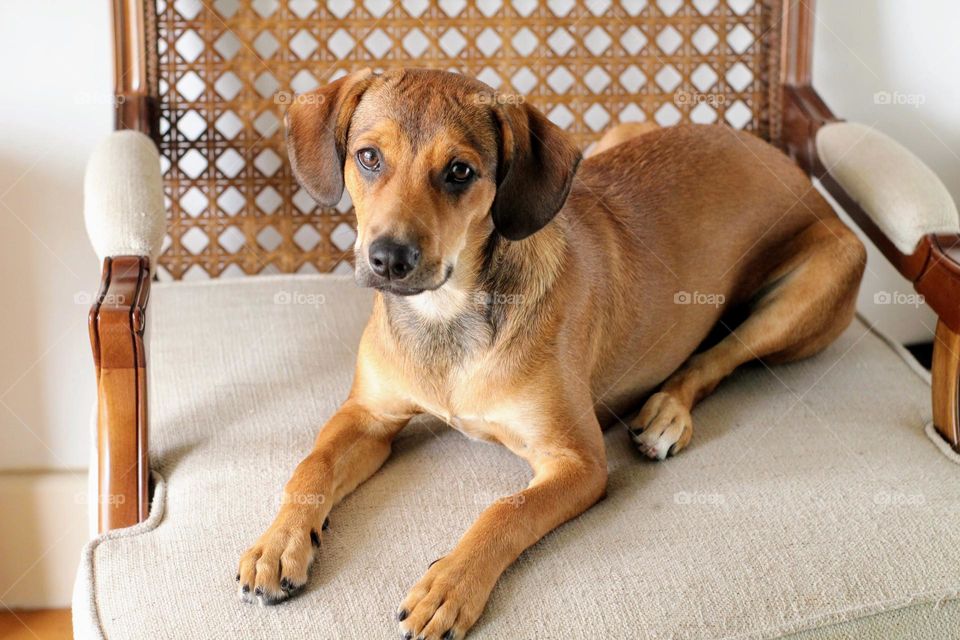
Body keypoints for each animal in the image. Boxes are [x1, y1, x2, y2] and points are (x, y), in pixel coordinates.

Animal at [236, 67, 868, 636]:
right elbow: (311, 466)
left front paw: (450, 586)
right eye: (368, 157)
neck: (448, 317)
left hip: (831, 267)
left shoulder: (579, 461)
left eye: (460, 171)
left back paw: (668, 412)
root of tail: (786, 163)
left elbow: (502, 511)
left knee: (719, 358)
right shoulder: (369, 415)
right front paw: (279, 543)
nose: (389, 259)